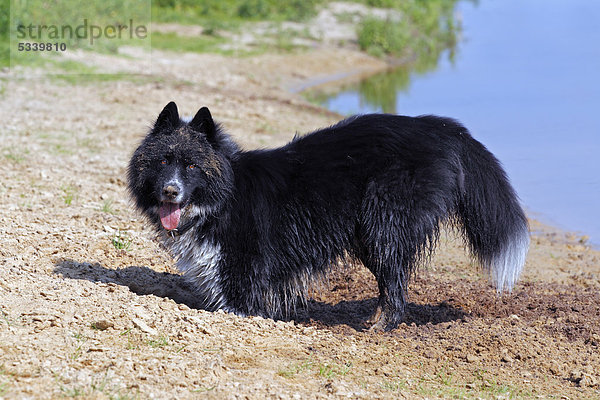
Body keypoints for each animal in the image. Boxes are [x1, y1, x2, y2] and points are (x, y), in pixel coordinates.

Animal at [127, 103, 528, 332]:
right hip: (369, 235)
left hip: (384, 224)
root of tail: (442, 129)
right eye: (163, 161)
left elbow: (238, 305)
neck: (225, 195)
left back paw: (380, 328)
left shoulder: (244, 273)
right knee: (391, 283)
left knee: (395, 286)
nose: (170, 191)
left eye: (192, 166)